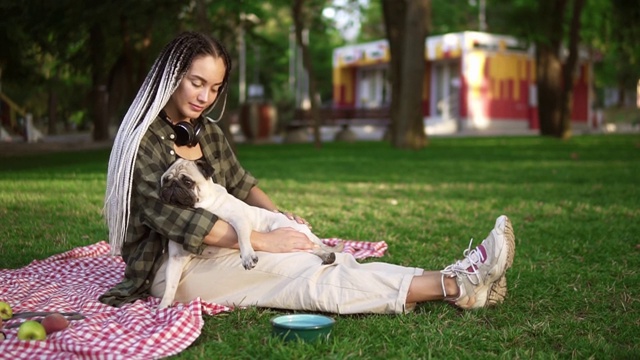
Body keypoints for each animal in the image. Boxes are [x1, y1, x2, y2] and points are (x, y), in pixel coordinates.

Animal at [158, 158, 342, 310]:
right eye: (165, 180)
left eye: (187, 182)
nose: (171, 185)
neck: (204, 206)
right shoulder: (176, 258)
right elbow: (171, 284)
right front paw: (164, 306)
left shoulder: (240, 220)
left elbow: (242, 238)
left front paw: (247, 257)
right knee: (313, 248)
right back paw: (327, 256)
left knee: (314, 246)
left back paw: (327, 255)